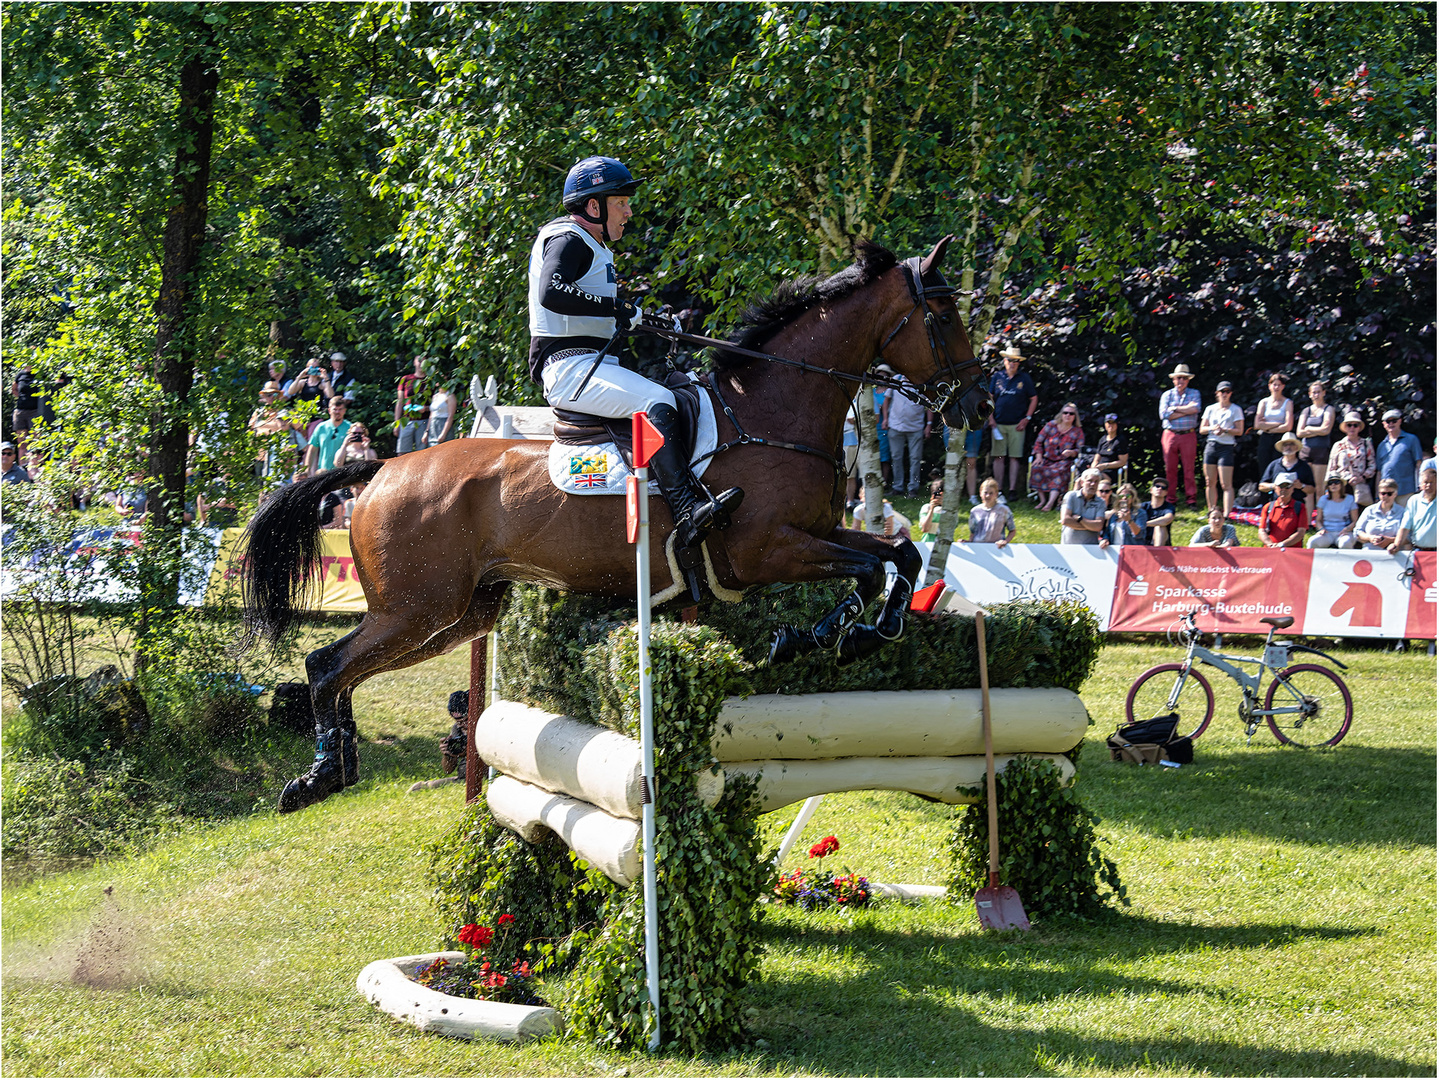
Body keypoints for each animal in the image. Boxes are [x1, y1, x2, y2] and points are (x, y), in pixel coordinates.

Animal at [241, 235, 995, 811]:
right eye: (942, 314)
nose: (981, 406)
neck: (774, 414)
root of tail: (381, 470)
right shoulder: (765, 553)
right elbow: (866, 569)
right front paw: (827, 632)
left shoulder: (816, 533)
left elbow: (898, 554)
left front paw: (859, 630)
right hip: (414, 608)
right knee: (327, 664)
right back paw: (318, 776)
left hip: (460, 613)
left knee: (344, 670)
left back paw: (332, 770)